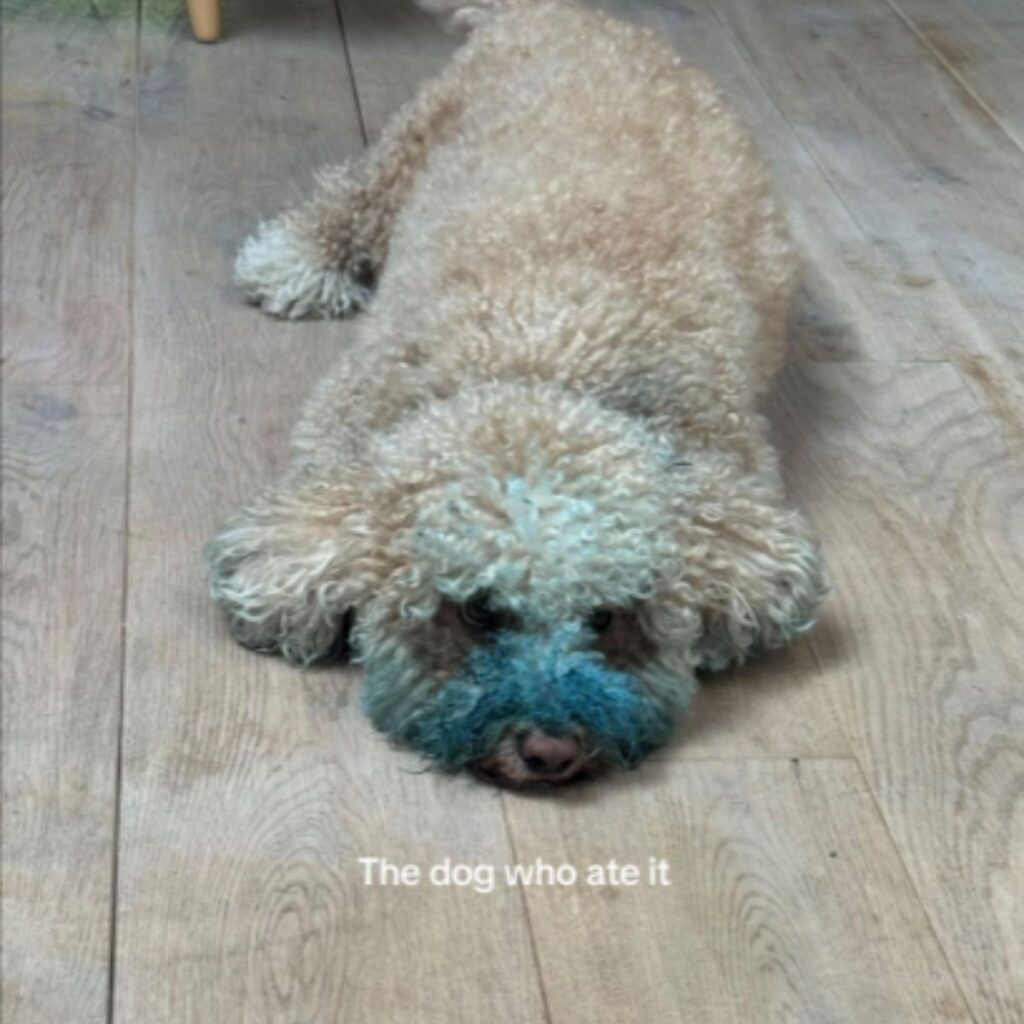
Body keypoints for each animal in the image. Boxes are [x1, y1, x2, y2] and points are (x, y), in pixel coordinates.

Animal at [203, 0, 827, 786]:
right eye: (477, 612)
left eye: (605, 617)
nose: (550, 750)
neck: (544, 361)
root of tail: (570, 16)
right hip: (413, 144)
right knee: (351, 197)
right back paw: (299, 259)